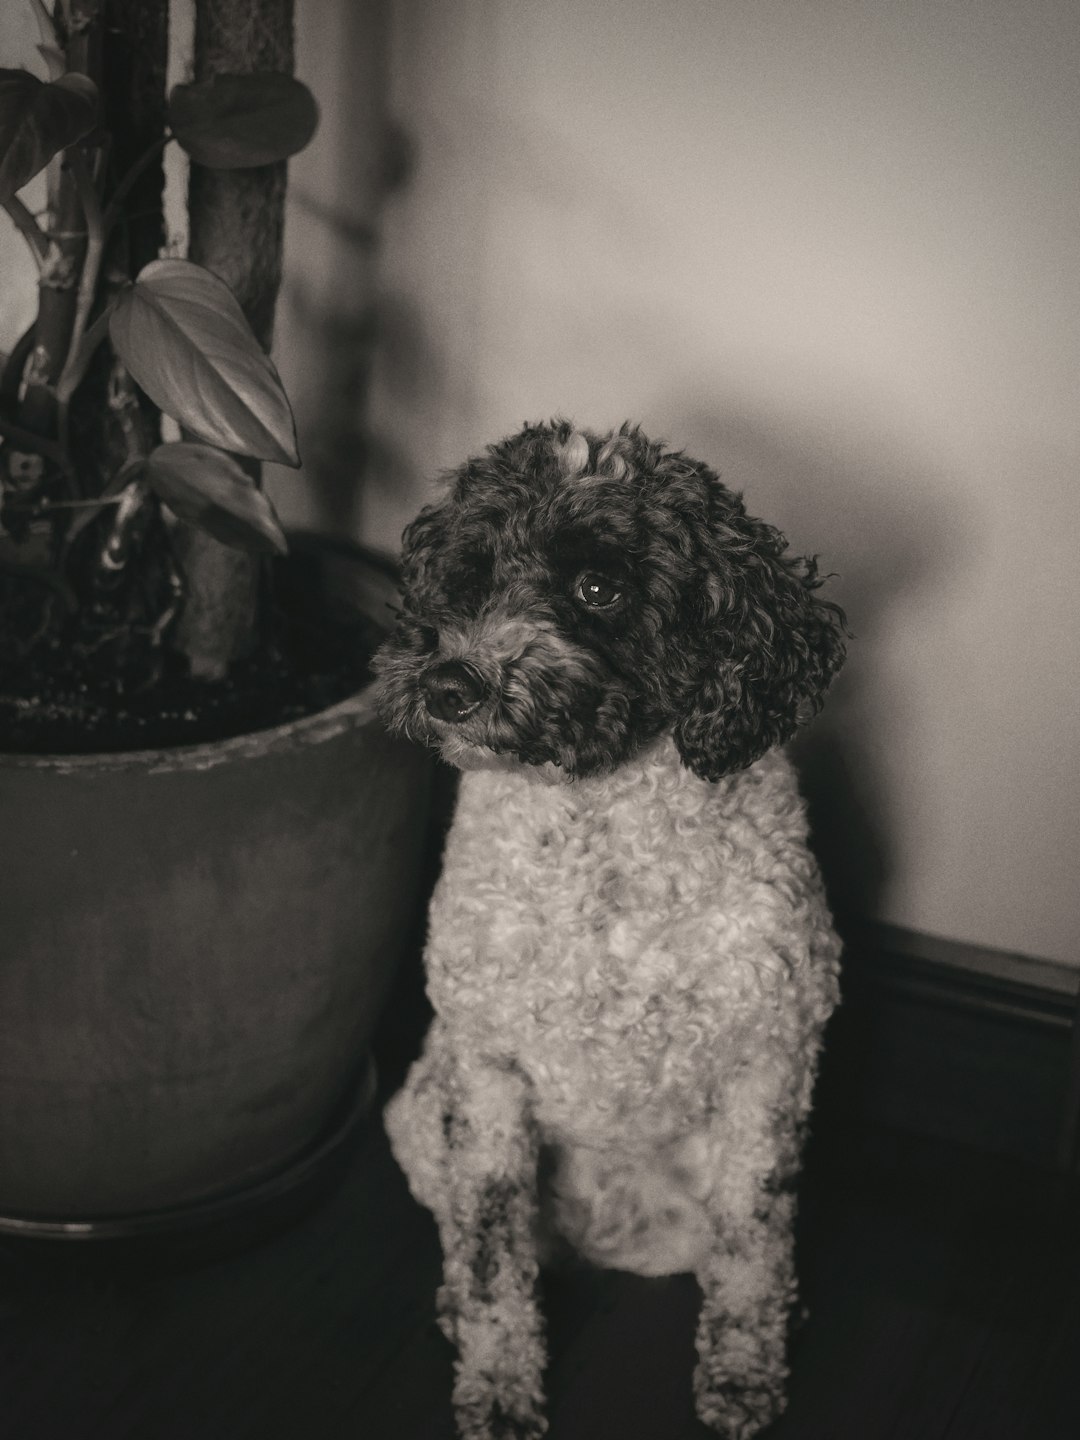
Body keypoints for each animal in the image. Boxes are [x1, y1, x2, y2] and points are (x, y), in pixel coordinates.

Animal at [377, 420, 852, 1440]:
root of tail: (610, 1237)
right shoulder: (487, 1071)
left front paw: (744, 1374)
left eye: (601, 587)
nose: (449, 684)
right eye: (468, 576)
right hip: (422, 1111)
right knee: (464, 1232)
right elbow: (490, 1254)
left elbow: (753, 1242)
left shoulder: (772, 1063)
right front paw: (499, 1385)